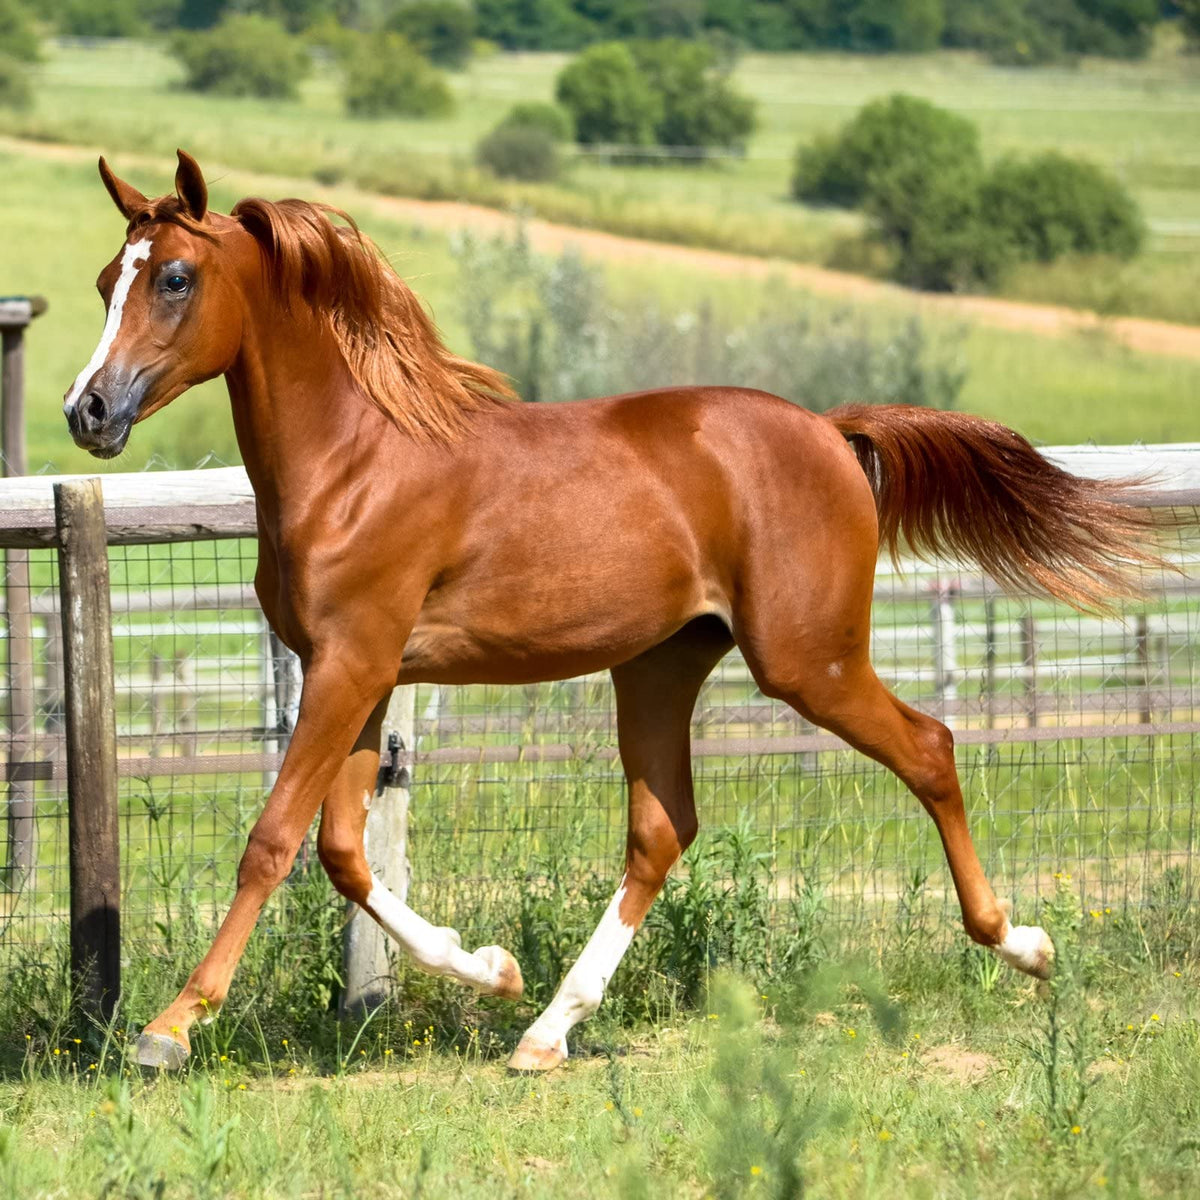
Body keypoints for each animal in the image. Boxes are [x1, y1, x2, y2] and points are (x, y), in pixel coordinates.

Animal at [64, 151, 1162, 1072]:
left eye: (174, 279)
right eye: (105, 280)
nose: (89, 410)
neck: (356, 463)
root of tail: (831, 432)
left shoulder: (354, 662)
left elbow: (273, 841)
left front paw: (169, 1029)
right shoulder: (358, 672)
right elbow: (342, 855)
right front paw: (491, 969)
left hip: (807, 658)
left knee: (929, 748)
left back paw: (1023, 945)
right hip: (663, 661)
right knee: (661, 829)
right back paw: (545, 1029)